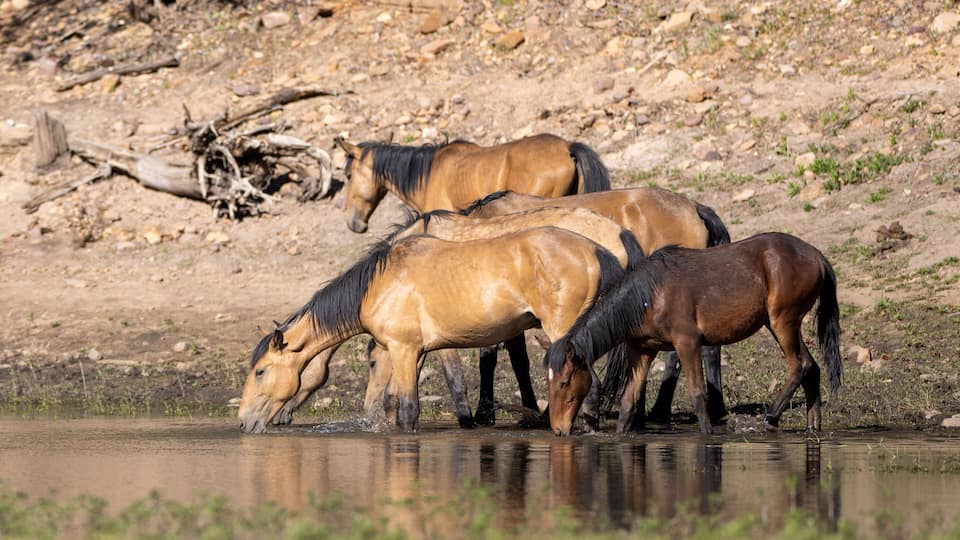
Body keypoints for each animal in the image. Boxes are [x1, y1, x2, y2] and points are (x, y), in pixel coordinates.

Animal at [543, 232, 841, 436]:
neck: (648, 296)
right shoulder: (642, 350)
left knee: (798, 366)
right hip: (780, 324)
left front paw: (707, 433)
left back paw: (772, 415)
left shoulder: (687, 342)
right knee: (811, 367)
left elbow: (698, 394)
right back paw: (813, 425)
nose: (558, 429)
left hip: (783, 322)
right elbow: (628, 403)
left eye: (565, 382)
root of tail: (817, 256)